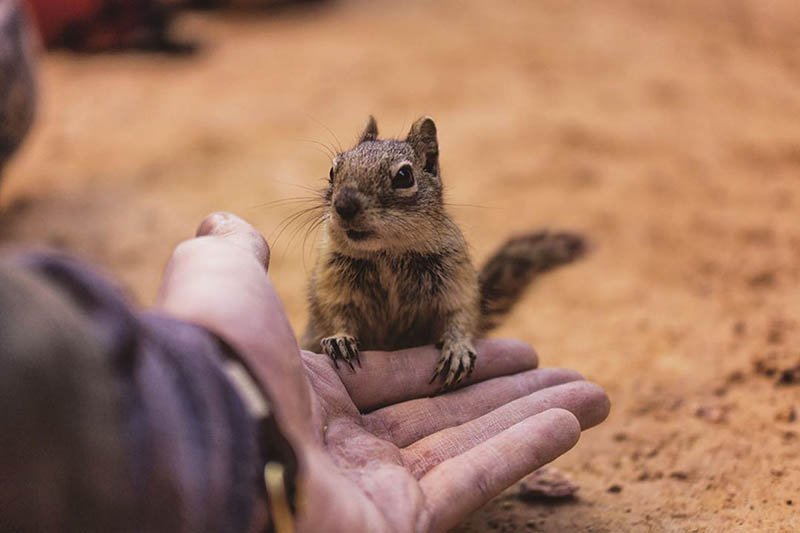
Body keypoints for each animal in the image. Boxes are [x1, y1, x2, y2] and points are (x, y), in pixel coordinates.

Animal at [300, 115, 588, 386]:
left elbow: (460, 313)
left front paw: (457, 348)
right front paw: (339, 339)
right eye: (332, 171)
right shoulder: (331, 281)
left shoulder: (455, 277)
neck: (386, 254)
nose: (344, 205)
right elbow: (333, 313)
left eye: (404, 176)